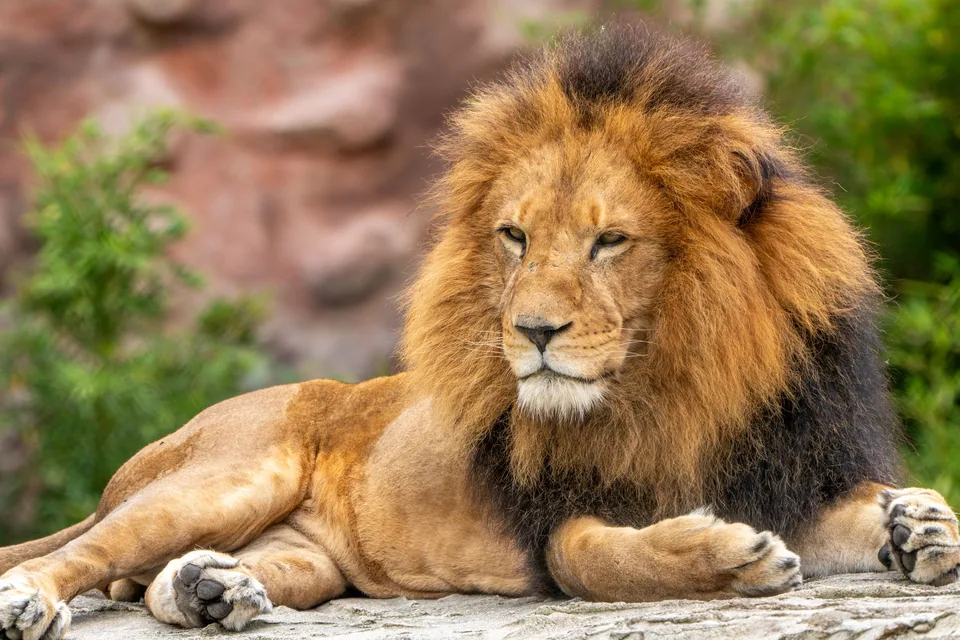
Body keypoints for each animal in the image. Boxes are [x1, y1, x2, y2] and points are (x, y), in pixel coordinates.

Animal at [1, 23, 958, 640]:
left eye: (610, 241)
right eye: (516, 237)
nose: (533, 330)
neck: (678, 379)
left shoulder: (778, 469)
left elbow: (857, 517)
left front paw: (917, 524)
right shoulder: (549, 525)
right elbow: (595, 558)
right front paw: (728, 558)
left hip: (305, 558)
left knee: (154, 585)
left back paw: (208, 588)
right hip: (227, 474)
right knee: (87, 552)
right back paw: (34, 599)